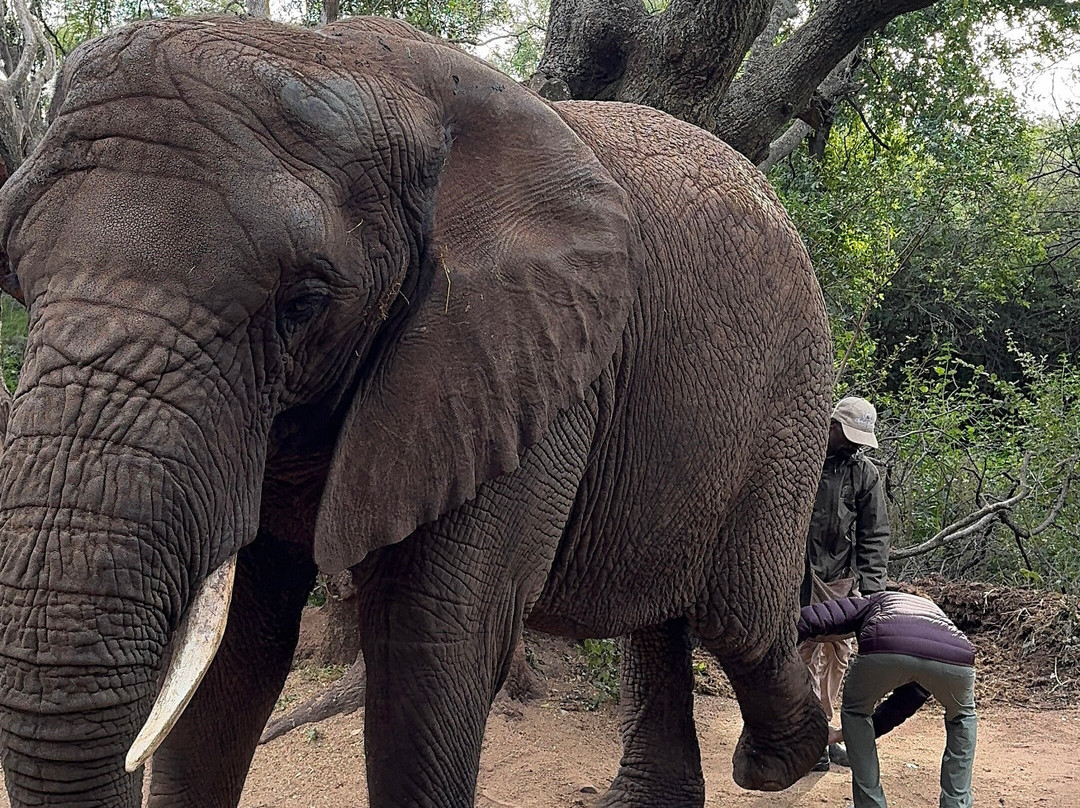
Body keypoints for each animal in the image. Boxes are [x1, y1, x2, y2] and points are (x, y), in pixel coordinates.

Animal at [0, 14, 832, 808]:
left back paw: (785, 761)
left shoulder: (519, 360)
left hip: (792, 403)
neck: (358, 64)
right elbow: (237, 651)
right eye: (14, 275)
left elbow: (431, 645)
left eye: (304, 303)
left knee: (741, 620)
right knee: (663, 615)